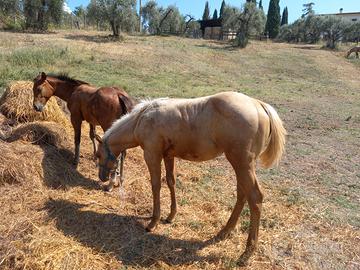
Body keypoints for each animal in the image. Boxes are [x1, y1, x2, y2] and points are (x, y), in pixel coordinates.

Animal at [94, 90, 286, 264]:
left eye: (98, 155)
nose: (102, 179)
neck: (141, 119)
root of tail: (258, 105)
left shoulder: (151, 154)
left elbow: (156, 185)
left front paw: (153, 222)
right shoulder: (168, 155)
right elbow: (170, 181)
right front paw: (171, 216)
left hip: (242, 163)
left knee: (255, 197)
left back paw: (246, 254)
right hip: (242, 165)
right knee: (242, 194)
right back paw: (223, 233)